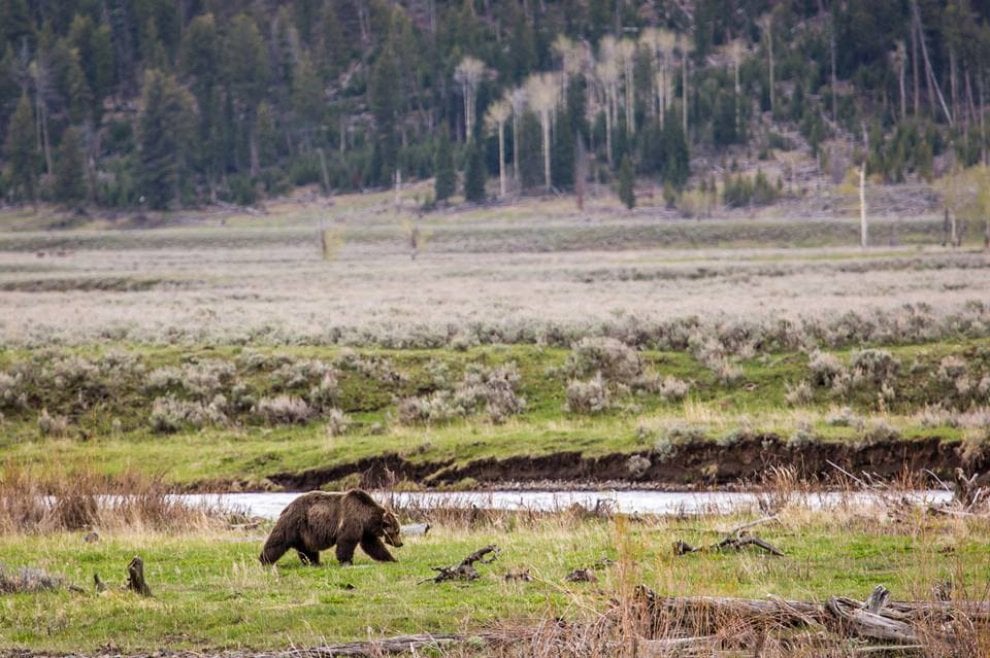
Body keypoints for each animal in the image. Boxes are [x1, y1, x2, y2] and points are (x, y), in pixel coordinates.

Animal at [258, 489, 403, 566]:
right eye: (397, 530)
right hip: (295, 522)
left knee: (307, 549)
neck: (366, 518)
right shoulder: (351, 520)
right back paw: (264, 560)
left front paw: (392, 559)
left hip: (305, 533)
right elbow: (347, 541)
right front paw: (346, 561)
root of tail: (288, 506)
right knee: (278, 540)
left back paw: (314, 562)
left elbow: (373, 546)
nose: (400, 543)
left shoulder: (366, 531)